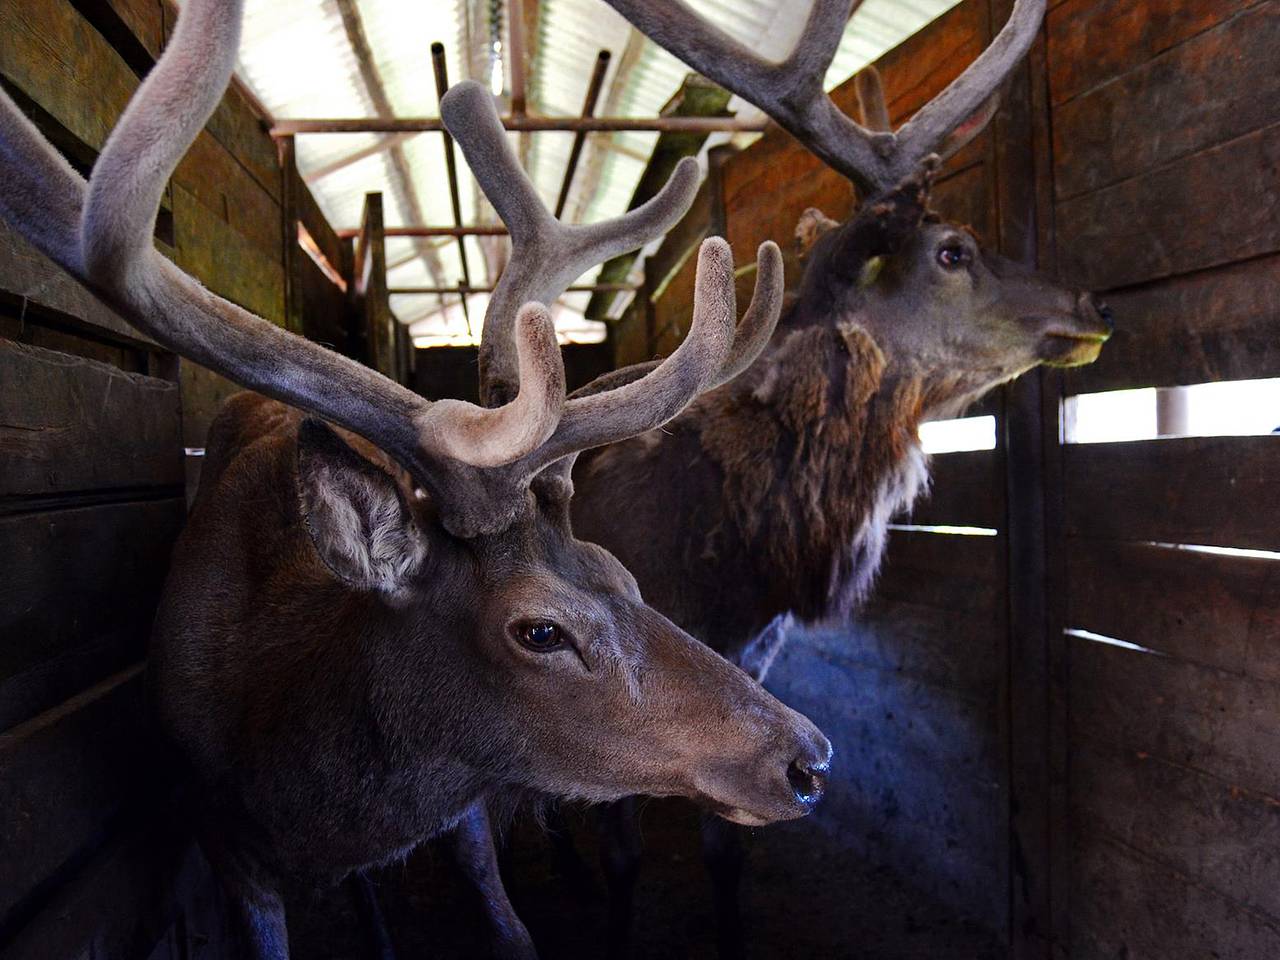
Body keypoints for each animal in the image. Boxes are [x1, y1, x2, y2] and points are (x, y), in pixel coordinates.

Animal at [0, 3, 834, 957]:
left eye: (624, 576)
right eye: (540, 631)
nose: (809, 759)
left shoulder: (461, 806)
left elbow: (510, 928)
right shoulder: (225, 840)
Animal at [445, 0, 1116, 957]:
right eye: (955, 250)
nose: (1093, 305)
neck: (733, 563)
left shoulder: (751, 665)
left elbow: (728, 851)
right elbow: (621, 852)